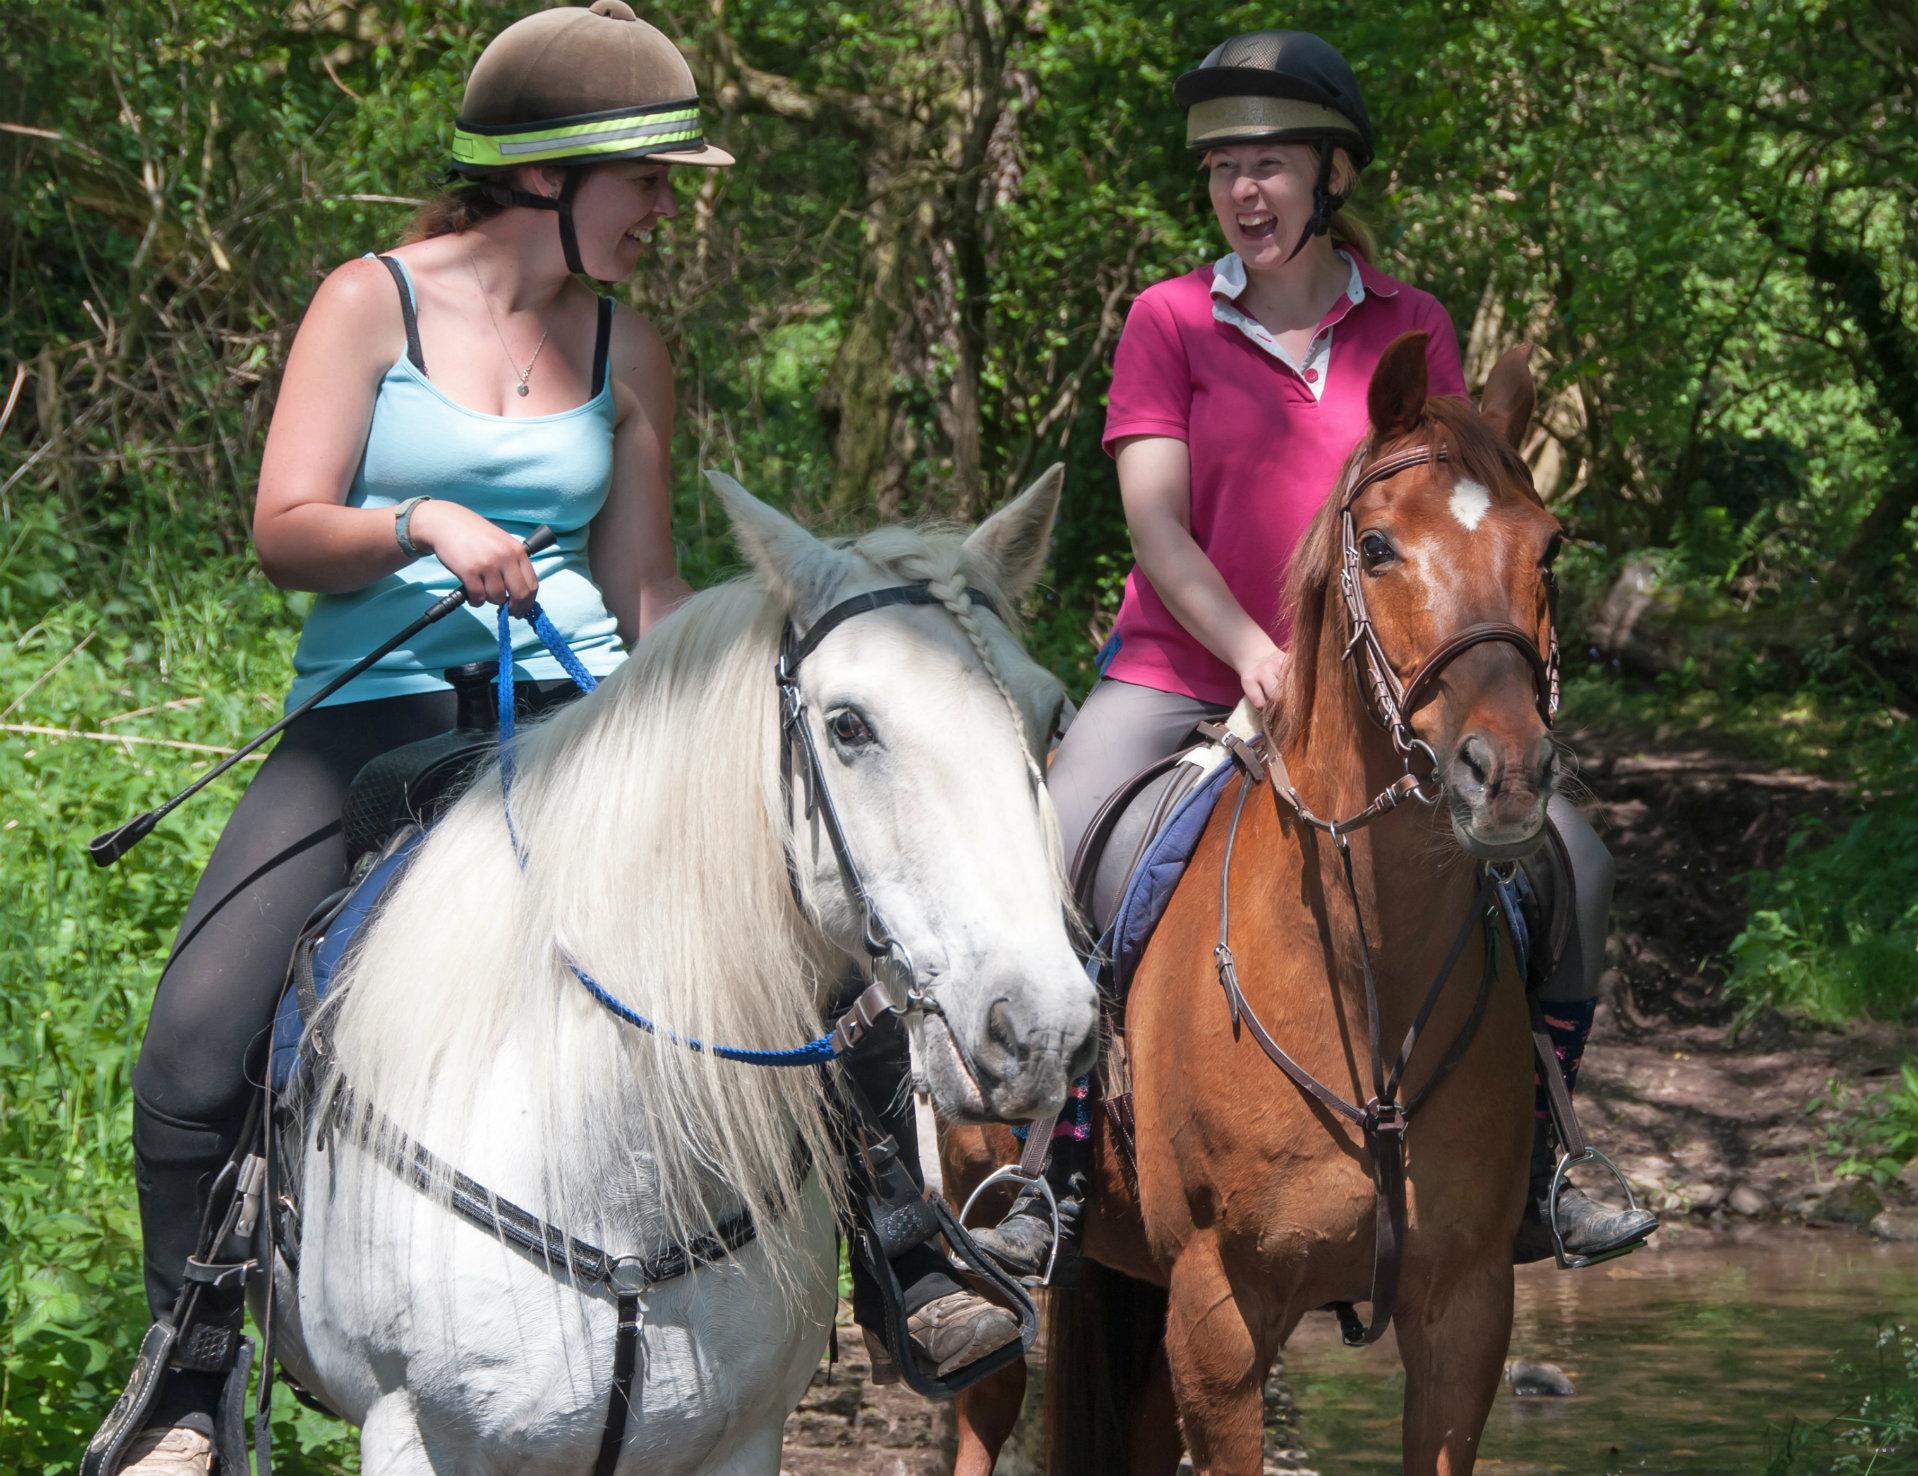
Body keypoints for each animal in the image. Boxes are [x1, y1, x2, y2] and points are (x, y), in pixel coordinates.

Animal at [268, 471, 1104, 1472]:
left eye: (1050, 713)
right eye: (848, 725)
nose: (1043, 1031)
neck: (608, 1176)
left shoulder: (740, 1440)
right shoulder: (411, 1437)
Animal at [939, 337, 1557, 1472]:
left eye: (1549, 548)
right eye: (1378, 546)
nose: (1508, 775)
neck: (1362, 974)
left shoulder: (1465, 1309)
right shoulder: (1219, 1313)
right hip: (988, 1245)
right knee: (981, 1406)